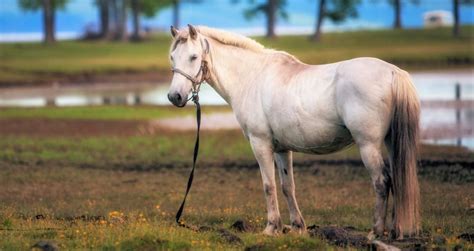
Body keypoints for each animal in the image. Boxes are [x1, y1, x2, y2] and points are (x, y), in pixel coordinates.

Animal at [166, 25, 418, 239]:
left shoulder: (260, 144)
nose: (174, 96)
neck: (251, 77)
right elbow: (288, 187)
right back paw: (395, 231)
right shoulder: (281, 149)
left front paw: (271, 228)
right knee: (396, 179)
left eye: (194, 57)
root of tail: (394, 72)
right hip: (390, 142)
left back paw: (375, 232)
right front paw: (297, 227)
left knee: (381, 181)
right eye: (172, 57)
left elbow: (268, 185)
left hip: (368, 145)